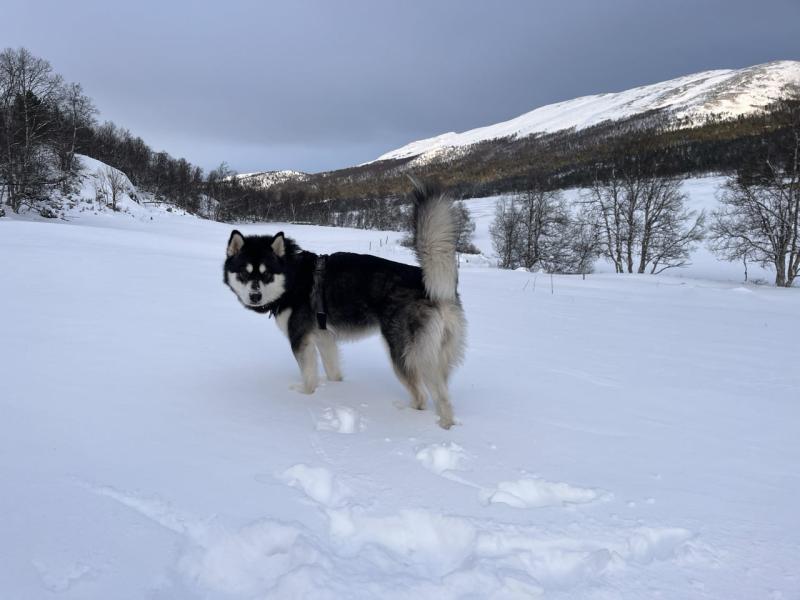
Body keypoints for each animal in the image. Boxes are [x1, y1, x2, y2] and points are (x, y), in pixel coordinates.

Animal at [222, 180, 466, 428]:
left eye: (266, 274)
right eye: (244, 273)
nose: (254, 296)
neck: (292, 276)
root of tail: (428, 283)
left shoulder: (300, 340)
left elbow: (308, 375)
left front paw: (305, 395)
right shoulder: (324, 337)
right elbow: (332, 371)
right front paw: (336, 390)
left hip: (406, 353)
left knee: (423, 396)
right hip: (438, 354)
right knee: (442, 393)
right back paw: (446, 424)